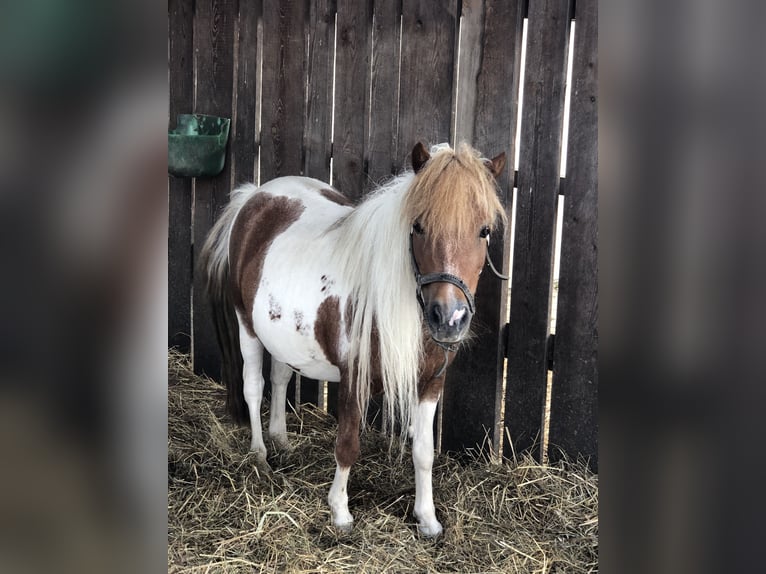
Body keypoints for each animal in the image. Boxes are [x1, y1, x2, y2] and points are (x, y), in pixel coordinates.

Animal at [200, 141, 506, 537]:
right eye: (418, 226)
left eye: (484, 230)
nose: (449, 319)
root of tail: (255, 196)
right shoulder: (352, 379)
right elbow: (347, 445)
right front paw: (340, 513)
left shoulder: (430, 383)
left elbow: (424, 451)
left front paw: (427, 519)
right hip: (246, 325)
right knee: (253, 387)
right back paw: (260, 455)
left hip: (283, 336)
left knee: (280, 379)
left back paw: (281, 440)